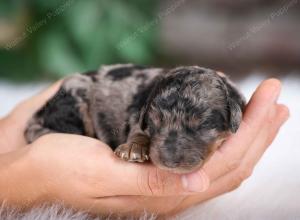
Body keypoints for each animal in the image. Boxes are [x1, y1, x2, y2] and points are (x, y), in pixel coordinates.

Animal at [25, 63, 246, 174]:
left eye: (203, 124)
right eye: (155, 121)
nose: (168, 161)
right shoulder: (138, 115)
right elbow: (138, 131)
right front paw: (133, 148)